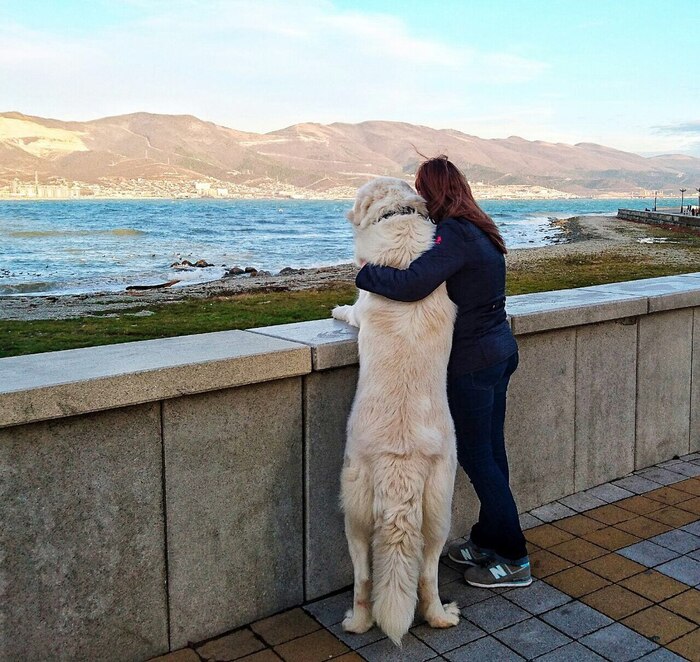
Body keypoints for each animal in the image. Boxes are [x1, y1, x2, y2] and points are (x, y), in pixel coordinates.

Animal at [332, 177, 459, 645]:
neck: (398, 220)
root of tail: (400, 461)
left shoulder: (362, 302)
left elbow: (351, 309)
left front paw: (335, 308)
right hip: (440, 504)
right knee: (426, 574)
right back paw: (441, 616)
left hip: (354, 505)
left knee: (364, 577)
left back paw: (356, 621)